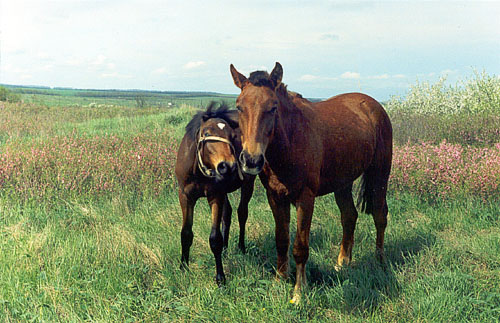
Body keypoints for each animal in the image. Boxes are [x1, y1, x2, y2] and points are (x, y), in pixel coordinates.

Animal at [175, 102, 254, 284]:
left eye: (232, 135)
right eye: (206, 133)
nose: (228, 166)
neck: (197, 171)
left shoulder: (215, 196)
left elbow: (214, 238)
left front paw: (220, 277)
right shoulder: (185, 197)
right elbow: (186, 233)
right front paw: (184, 267)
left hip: (248, 184)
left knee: (242, 213)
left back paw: (241, 247)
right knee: (228, 214)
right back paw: (225, 249)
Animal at [231, 63, 394, 304]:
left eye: (273, 107)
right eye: (239, 107)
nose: (251, 160)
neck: (291, 141)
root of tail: (375, 106)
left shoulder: (305, 198)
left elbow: (300, 247)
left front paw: (299, 293)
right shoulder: (275, 197)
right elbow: (282, 240)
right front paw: (280, 280)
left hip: (379, 174)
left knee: (380, 215)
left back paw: (380, 262)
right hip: (342, 182)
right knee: (349, 216)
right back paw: (342, 263)